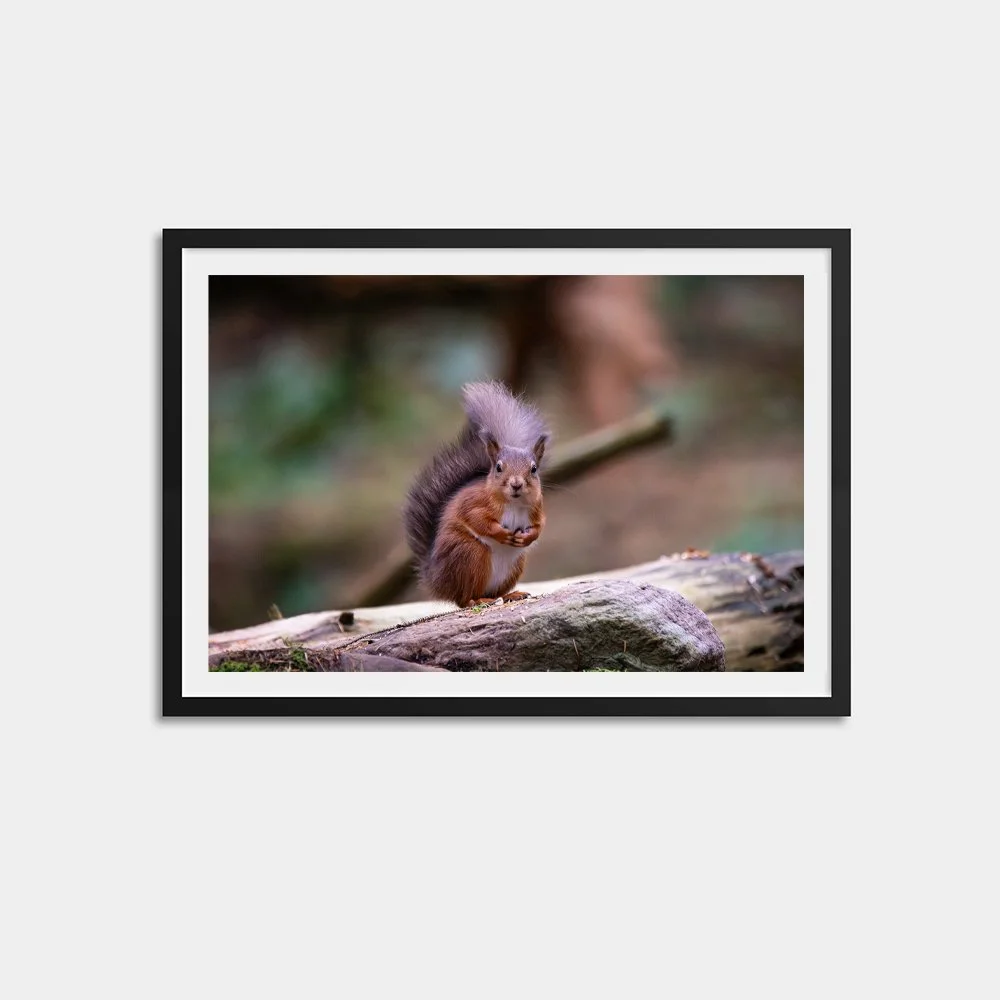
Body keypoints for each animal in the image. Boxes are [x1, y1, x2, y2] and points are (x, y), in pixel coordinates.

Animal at [403, 381, 550, 608]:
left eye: (533, 469)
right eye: (499, 467)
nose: (516, 484)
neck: (513, 503)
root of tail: (437, 580)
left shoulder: (537, 508)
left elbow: (539, 526)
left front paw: (527, 537)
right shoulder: (474, 503)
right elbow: (476, 518)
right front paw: (501, 533)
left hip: (515, 564)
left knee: (496, 593)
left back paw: (510, 594)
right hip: (471, 554)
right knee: (464, 599)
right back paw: (478, 599)